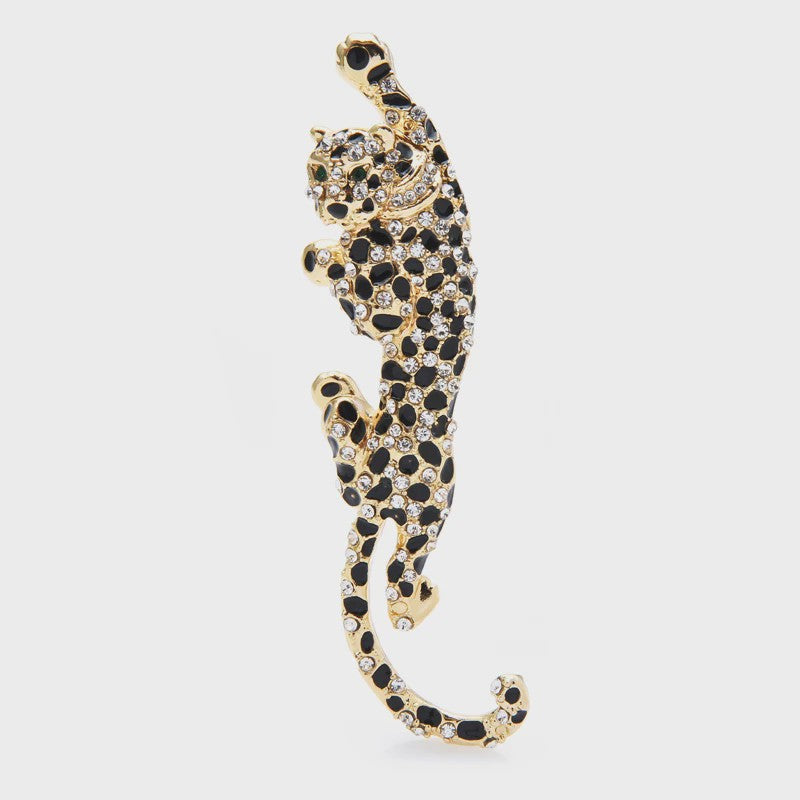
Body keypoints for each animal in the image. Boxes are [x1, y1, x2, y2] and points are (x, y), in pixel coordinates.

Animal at [302, 34, 529, 746]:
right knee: (350, 473)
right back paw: (337, 392)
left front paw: (365, 60)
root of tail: (382, 501)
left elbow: (401, 101)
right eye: (318, 172)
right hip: (393, 488)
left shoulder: (390, 302)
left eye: (360, 175)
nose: (332, 206)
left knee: (404, 573)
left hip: (434, 504)